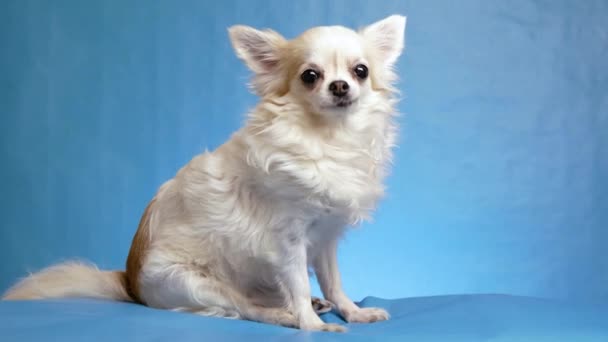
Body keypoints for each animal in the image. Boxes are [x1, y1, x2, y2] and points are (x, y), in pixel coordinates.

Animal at [4, 14, 406, 332]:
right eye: (310, 76)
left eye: (360, 71)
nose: (340, 86)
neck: (328, 137)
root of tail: (129, 282)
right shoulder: (288, 241)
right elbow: (298, 283)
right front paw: (310, 325)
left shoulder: (324, 239)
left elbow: (333, 281)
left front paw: (352, 312)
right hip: (194, 283)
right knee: (245, 308)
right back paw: (284, 314)